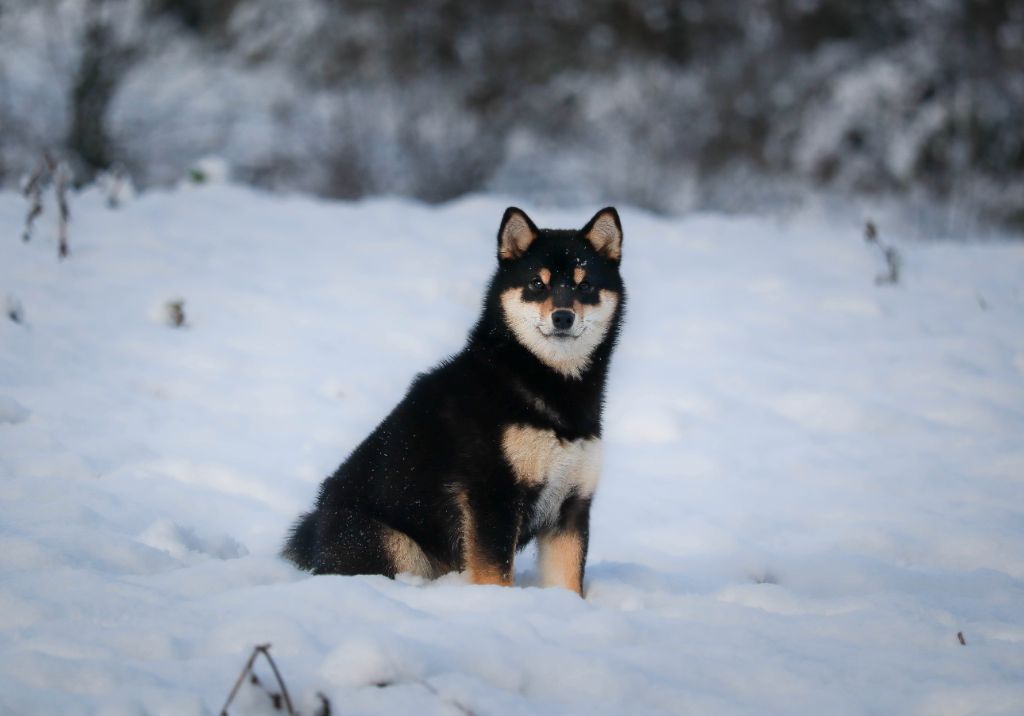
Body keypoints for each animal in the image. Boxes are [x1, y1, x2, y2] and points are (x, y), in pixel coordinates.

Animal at [284, 205, 626, 594]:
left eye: (585, 285)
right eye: (537, 284)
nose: (563, 317)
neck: (541, 381)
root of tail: (314, 535)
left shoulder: (572, 504)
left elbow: (567, 585)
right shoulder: (493, 496)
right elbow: (495, 575)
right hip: (394, 545)